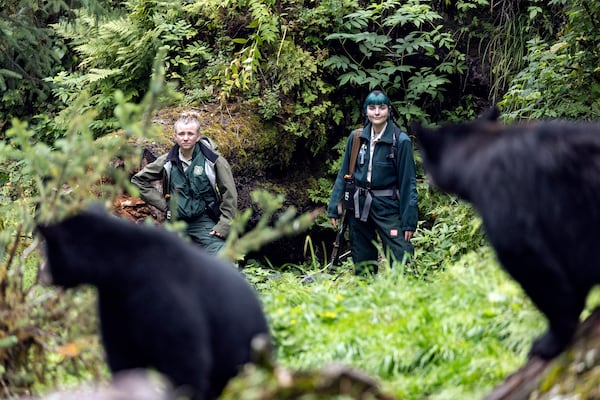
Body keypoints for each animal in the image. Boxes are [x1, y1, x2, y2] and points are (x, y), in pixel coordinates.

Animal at [37, 208, 270, 398]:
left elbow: (185, 359)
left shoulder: (165, 295)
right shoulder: (115, 302)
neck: (124, 269)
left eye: (48, 252)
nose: (41, 275)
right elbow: (123, 355)